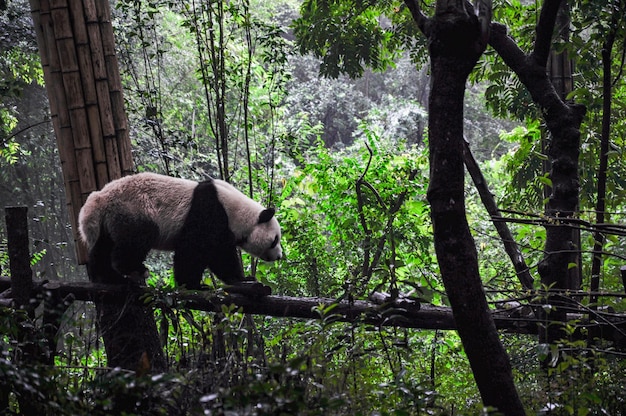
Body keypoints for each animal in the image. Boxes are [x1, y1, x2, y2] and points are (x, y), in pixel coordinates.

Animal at [77, 172, 280, 290]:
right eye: (275, 240)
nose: (279, 256)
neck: (238, 212)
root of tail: (98, 200)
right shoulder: (210, 212)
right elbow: (196, 249)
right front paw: (194, 285)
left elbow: (218, 255)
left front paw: (243, 279)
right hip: (133, 210)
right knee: (136, 239)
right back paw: (135, 269)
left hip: (108, 222)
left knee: (103, 247)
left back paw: (107, 277)